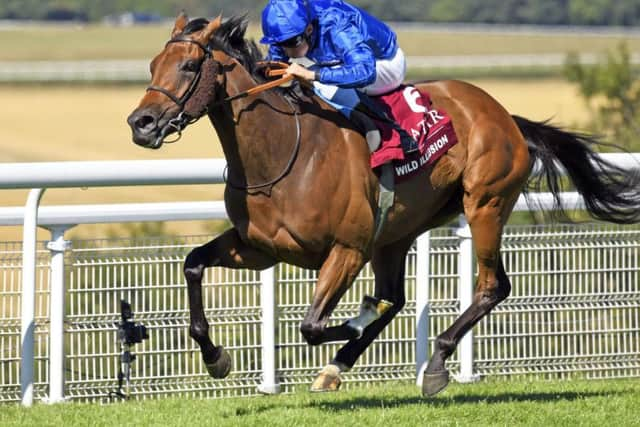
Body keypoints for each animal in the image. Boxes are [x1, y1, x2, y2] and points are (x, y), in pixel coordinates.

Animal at [126, 15, 640, 398]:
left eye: (189, 65)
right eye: (152, 63)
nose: (141, 123)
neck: (282, 153)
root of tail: (504, 115)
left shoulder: (347, 249)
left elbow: (314, 325)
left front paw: (355, 322)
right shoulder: (259, 248)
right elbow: (194, 264)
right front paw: (216, 358)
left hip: (484, 203)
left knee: (491, 286)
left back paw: (434, 363)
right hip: (396, 233)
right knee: (396, 297)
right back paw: (338, 366)